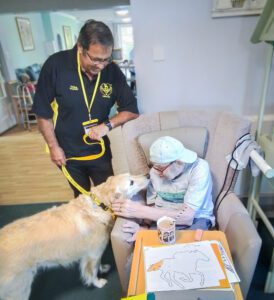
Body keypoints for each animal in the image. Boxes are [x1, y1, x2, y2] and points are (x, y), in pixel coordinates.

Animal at [0, 173, 149, 300]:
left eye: (131, 174)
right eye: (131, 182)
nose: (147, 175)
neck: (99, 205)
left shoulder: (95, 253)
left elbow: (98, 265)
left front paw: (102, 268)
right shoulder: (93, 254)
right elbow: (92, 271)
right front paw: (97, 282)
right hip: (20, 288)